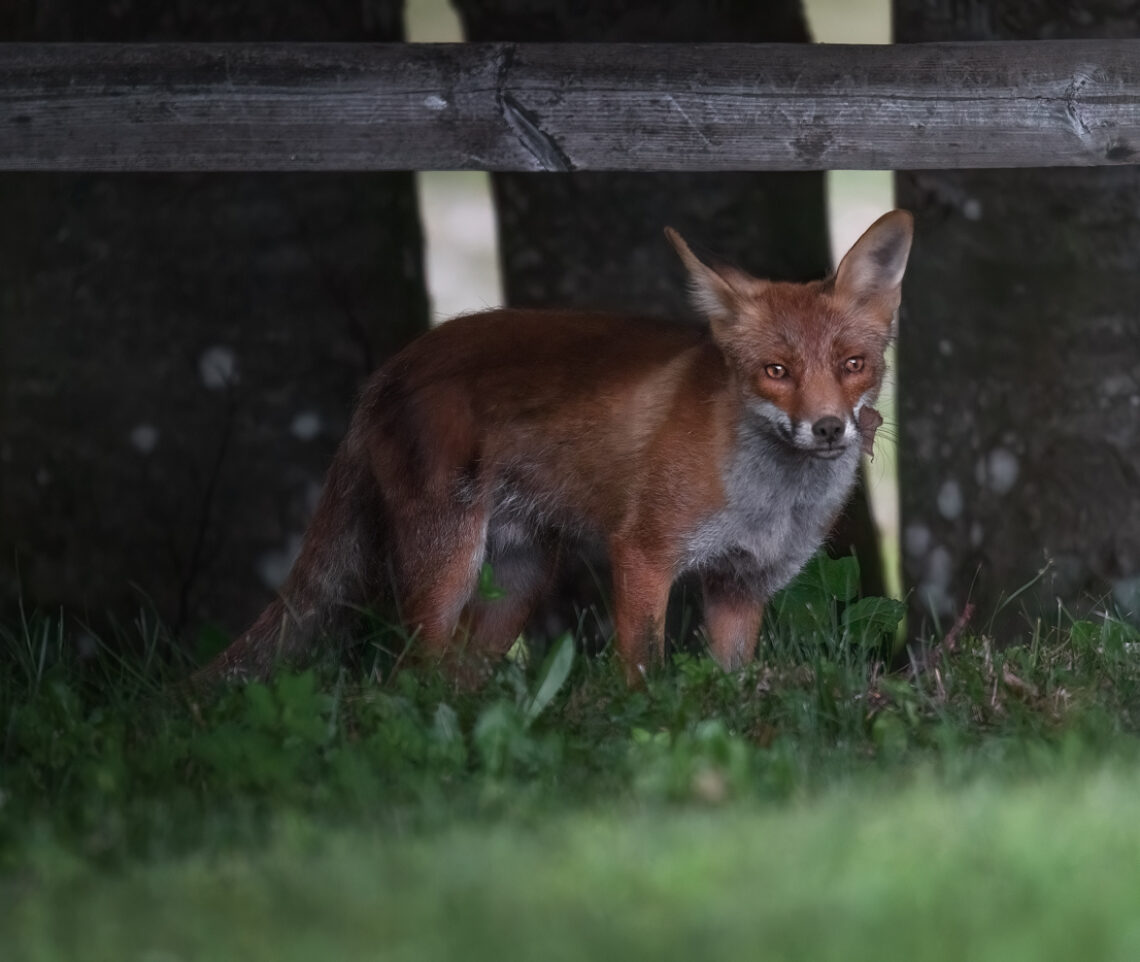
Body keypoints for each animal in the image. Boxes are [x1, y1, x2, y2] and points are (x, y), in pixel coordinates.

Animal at [200, 212, 912, 683]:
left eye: (852, 365)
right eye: (776, 372)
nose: (828, 428)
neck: (769, 500)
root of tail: (394, 365)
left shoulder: (741, 587)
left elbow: (729, 686)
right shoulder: (643, 555)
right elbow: (641, 671)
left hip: (516, 586)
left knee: (457, 677)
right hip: (445, 570)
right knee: (405, 678)